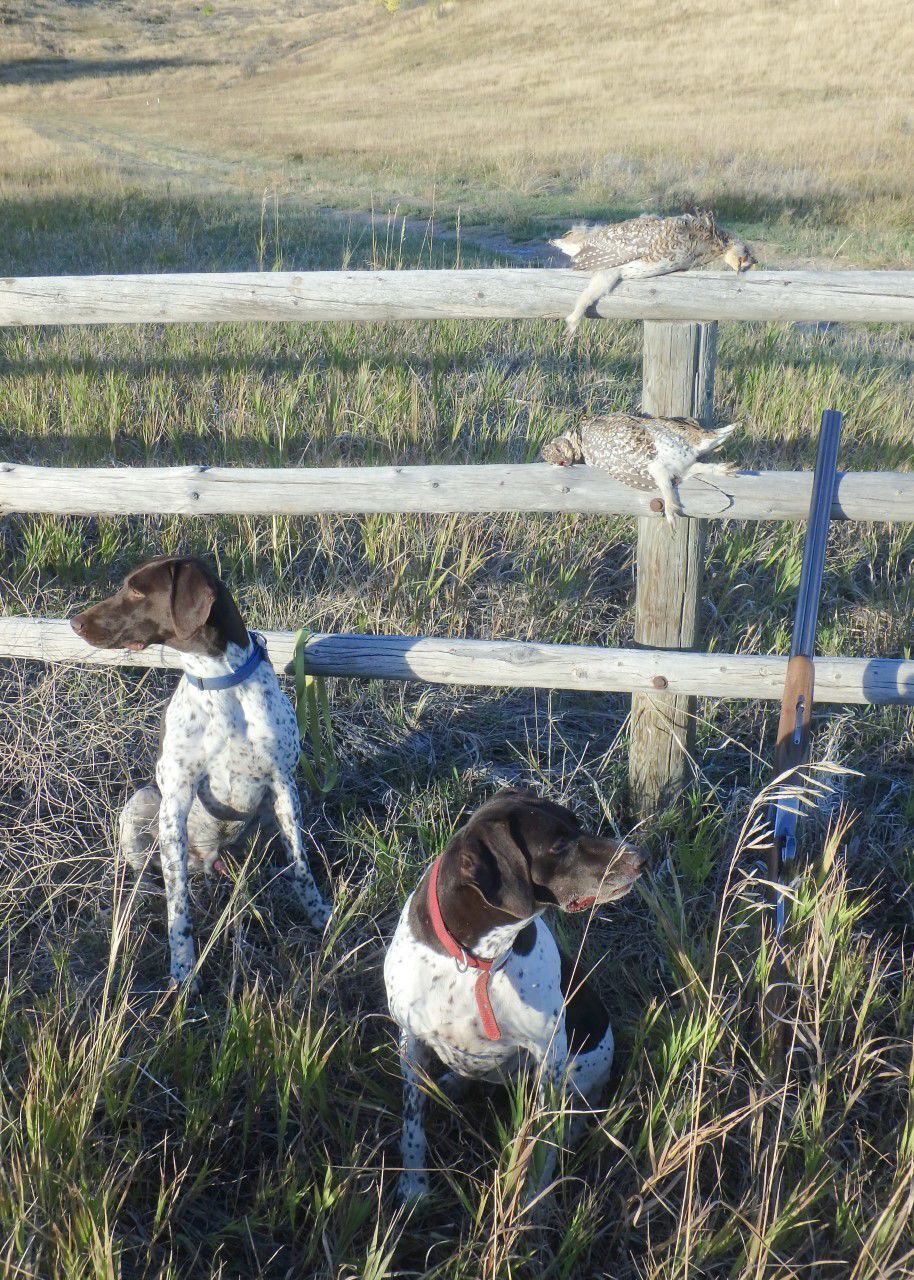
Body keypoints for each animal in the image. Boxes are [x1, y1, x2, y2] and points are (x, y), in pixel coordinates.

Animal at [71, 558, 330, 988]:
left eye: (137, 591)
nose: (75, 622)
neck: (219, 683)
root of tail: (209, 860)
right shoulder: (175, 801)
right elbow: (178, 907)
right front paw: (183, 969)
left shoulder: (284, 787)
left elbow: (301, 866)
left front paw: (319, 914)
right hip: (142, 804)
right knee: (148, 873)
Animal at [384, 783, 640, 1203]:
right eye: (558, 845)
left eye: (577, 825)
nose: (641, 858)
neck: (473, 961)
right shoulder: (410, 1040)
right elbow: (412, 1125)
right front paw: (415, 1186)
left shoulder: (548, 1056)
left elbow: (540, 1143)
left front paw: (533, 1200)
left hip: (576, 1072)